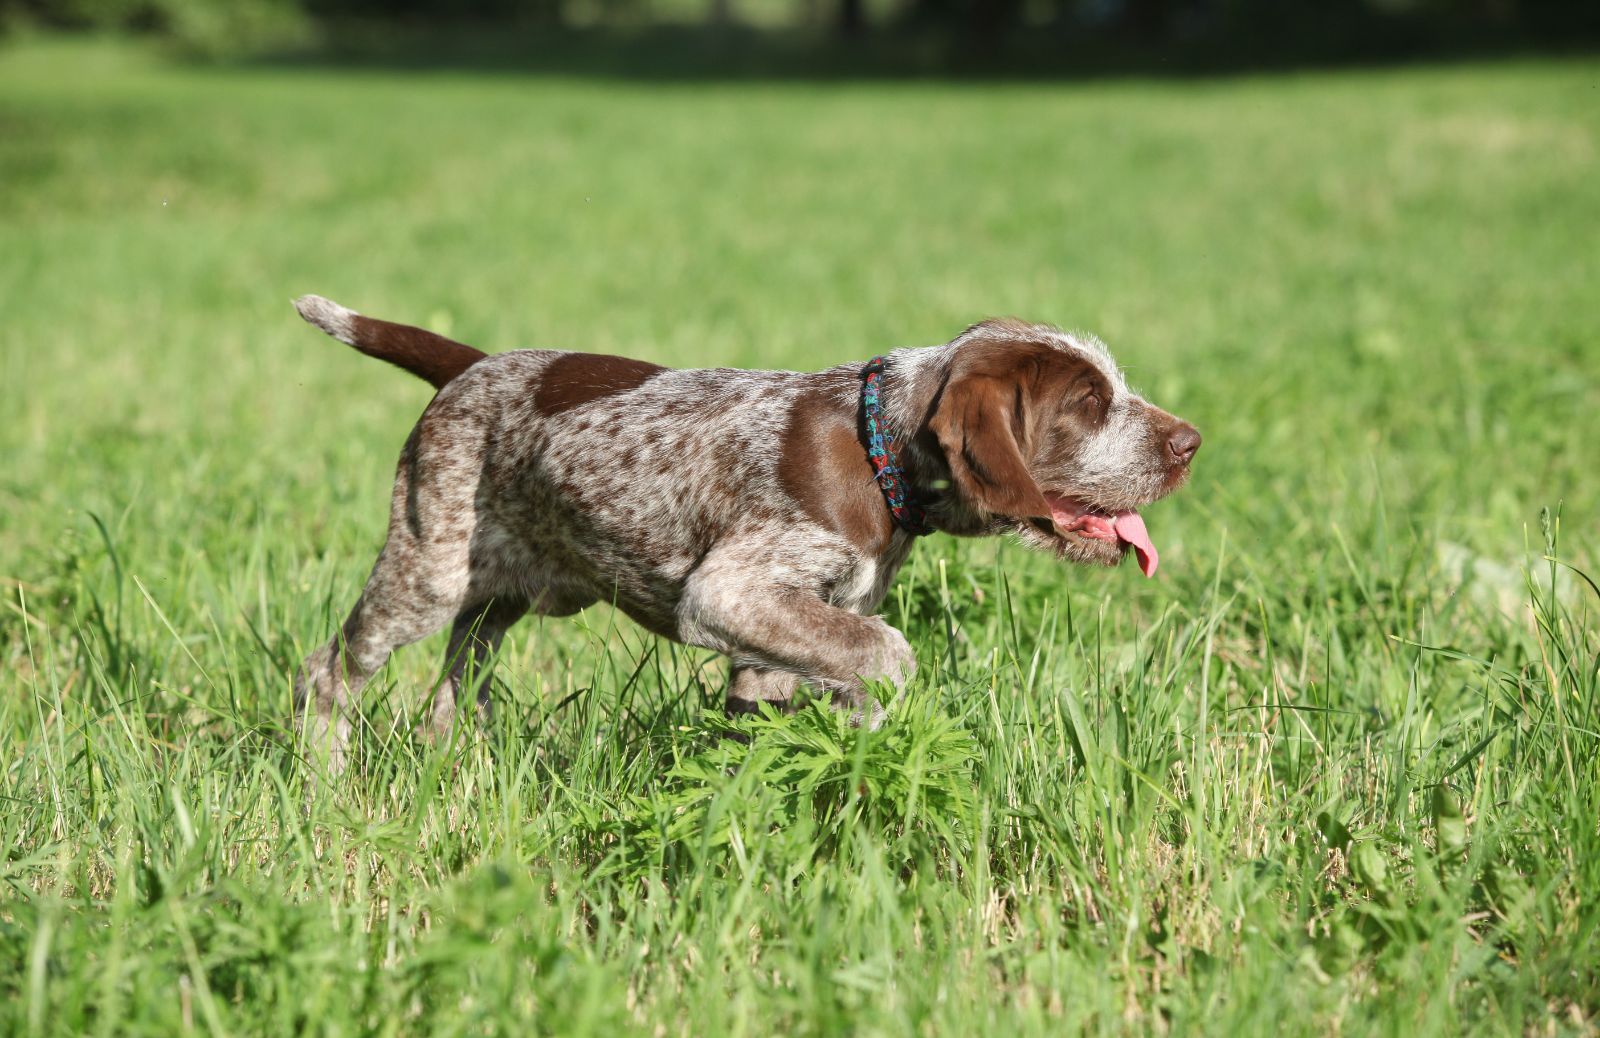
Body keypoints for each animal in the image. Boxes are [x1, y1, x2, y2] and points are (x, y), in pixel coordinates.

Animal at [288, 295, 1196, 764]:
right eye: (1089, 403)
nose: (1190, 442)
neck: (879, 447)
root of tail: (473, 366)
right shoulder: (730, 594)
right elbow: (887, 655)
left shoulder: (787, 636)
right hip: (426, 571)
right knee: (328, 670)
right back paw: (325, 774)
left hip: (495, 596)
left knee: (454, 686)